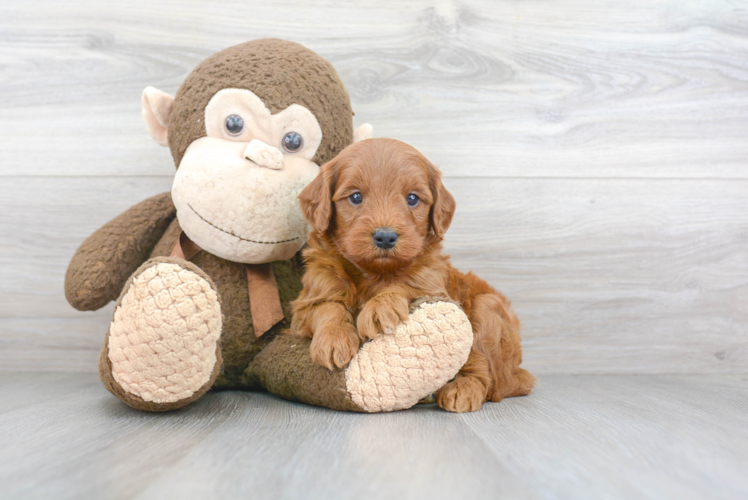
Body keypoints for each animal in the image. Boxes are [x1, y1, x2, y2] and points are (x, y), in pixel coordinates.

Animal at [290, 139, 536, 412]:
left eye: (412, 198)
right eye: (355, 197)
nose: (385, 237)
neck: (372, 273)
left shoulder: (432, 283)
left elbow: (405, 284)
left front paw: (379, 307)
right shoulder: (307, 302)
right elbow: (327, 307)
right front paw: (334, 339)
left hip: (487, 309)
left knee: (487, 374)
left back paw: (463, 389)